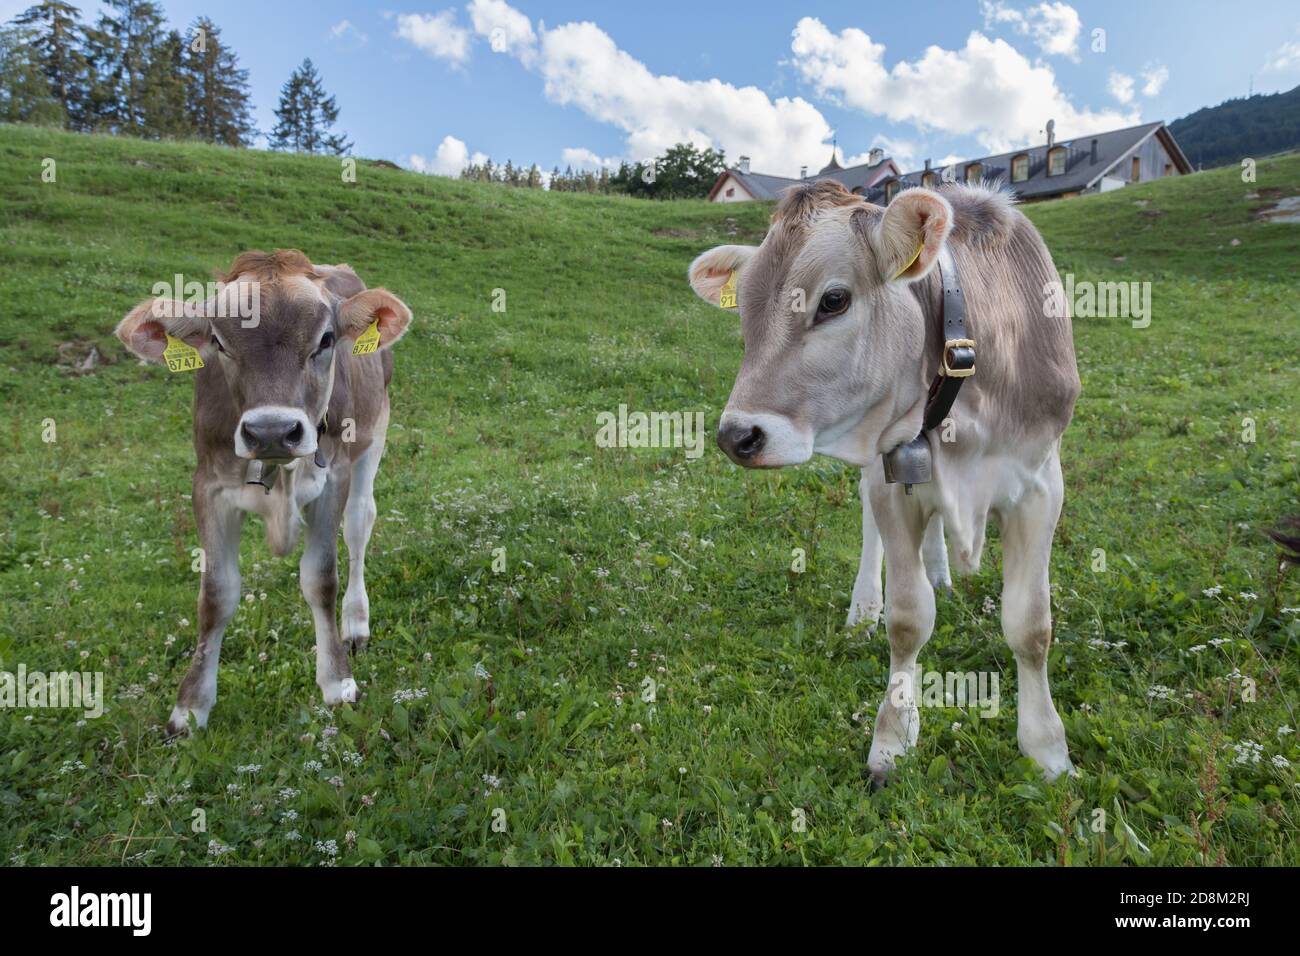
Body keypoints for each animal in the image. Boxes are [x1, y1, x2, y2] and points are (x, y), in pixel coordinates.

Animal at [115, 250, 413, 736]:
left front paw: (337, 683)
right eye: (218, 342)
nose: (272, 430)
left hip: (376, 433)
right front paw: (190, 707)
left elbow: (321, 579)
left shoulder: (333, 479)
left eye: (326, 338)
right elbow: (216, 596)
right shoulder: (208, 487)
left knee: (359, 525)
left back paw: (355, 625)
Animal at [688, 180, 1080, 784]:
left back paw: (942, 571)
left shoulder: (1041, 484)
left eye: (833, 300)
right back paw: (863, 610)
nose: (737, 436)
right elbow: (909, 617)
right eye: (745, 311)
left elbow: (1031, 625)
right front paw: (892, 739)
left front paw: (1047, 750)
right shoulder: (893, 480)